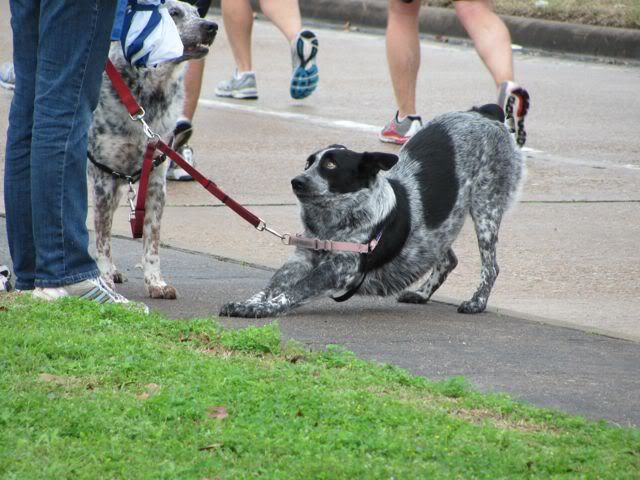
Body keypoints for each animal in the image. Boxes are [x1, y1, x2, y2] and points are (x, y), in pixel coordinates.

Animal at [87, 0, 218, 300]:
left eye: (198, 12)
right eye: (174, 13)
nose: (212, 26)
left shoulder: (155, 183)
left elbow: (151, 241)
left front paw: (155, 282)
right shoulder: (103, 178)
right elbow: (102, 238)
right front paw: (104, 278)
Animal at [221, 103, 524, 316]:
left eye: (330, 165)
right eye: (308, 162)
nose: (297, 181)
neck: (329, 223)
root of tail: (485, 113)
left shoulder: (338, 269)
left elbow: (292, 292)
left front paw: (261, 310)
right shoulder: (301, 260)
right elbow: (271, 287)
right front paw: (248, 303)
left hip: (486, 208)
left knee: (491, 267)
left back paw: (477, 302)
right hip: (439, 230)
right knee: (447, 258)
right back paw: (422, 294)